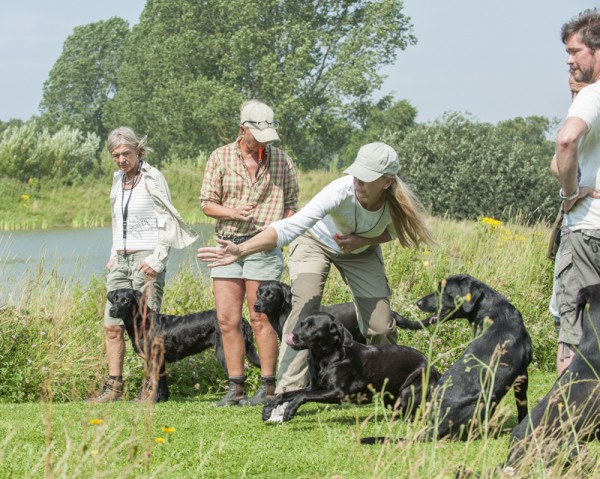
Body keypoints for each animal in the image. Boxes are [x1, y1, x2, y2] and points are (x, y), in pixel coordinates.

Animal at [106, 288, 260, 404]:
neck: (144, 323)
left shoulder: (154, 360)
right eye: (115, 298)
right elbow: (162, 384)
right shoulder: (160, 361)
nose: (112, 310)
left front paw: (151, 401)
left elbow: (154, 383)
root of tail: (244, 321)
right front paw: (161, 400)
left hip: (224, 352)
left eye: (125, 300)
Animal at [260, 316, 438, 424]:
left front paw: (290, 410)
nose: (293, 336)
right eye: (302, 324)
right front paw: (268, 409)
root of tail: (433, 367)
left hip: (409, 393)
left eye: (312, 327)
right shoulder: (315, 387)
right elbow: (286, 394)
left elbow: (302, 396)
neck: (327, 357)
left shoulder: (338, 393)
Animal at [396, 276, 532, 440]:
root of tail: (434, 427)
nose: (419, 303)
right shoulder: (522, 373)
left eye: (444, 291)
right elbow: (522, 404)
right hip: (485, 399)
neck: (492, 314)